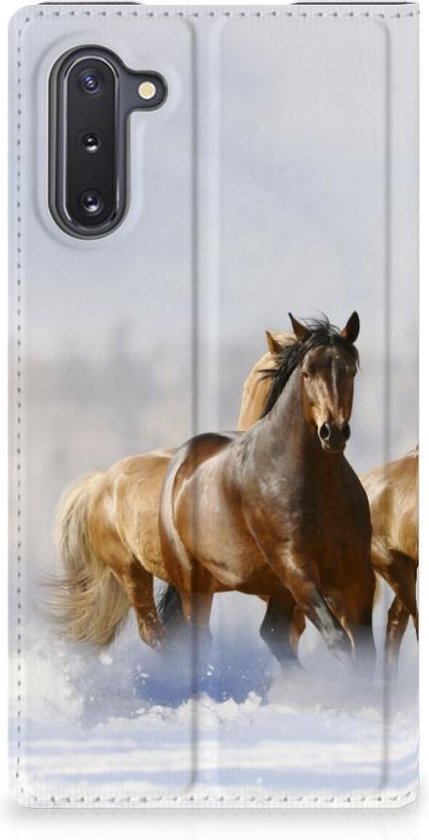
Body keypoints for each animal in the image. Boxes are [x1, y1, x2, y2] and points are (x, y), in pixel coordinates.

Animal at [158, 313, 376, 667]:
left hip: (274, 589)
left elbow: (366, 649)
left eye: (349, 370)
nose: (332, 432)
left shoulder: (357, 573)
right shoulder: (296, 568)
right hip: (194, 582)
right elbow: (338, 639)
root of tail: (182, 461)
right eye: (306, 372)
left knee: (273, 633)